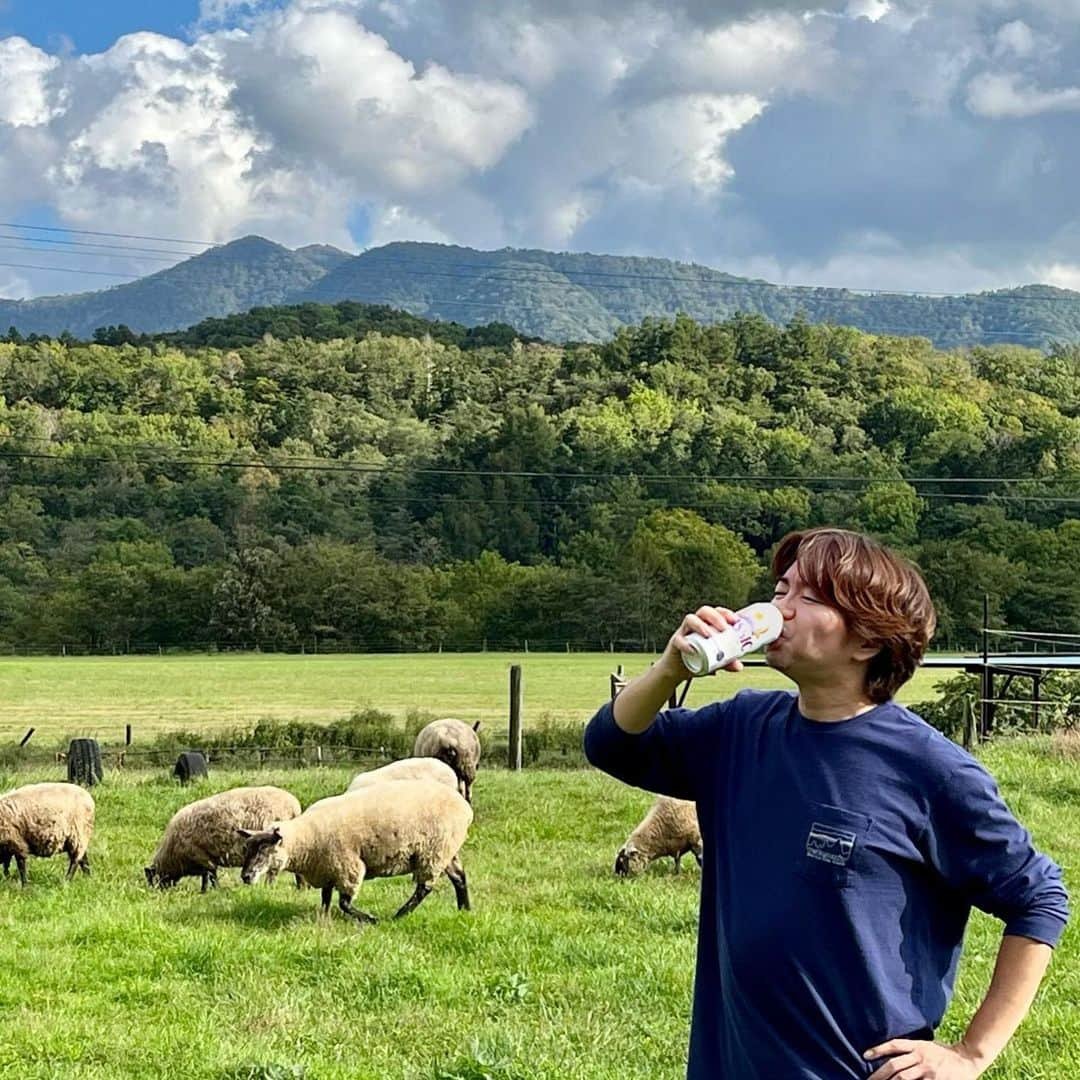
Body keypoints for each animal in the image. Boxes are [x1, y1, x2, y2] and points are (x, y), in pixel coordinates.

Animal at [145, 786, 302, 894]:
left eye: (152, 880)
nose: (154, 894)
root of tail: (295, 805)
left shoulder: (203, 858)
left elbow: (210, 876)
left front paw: (209, 891)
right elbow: (208, 876)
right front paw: (208, 891)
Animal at [240, 781, 473, 924]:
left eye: (264, 849)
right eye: (248, 849)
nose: (245, 876)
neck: (307, 839)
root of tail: (466, 809)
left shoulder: (348, 867)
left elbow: (344, 904)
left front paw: (370, 919)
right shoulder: (328, 869)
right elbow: (325, 898)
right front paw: (323, 919)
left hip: (434, 851)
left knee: (424, 887)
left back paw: (399, 915)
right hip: (447, 849)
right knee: (459, 877)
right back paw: (465, 910)